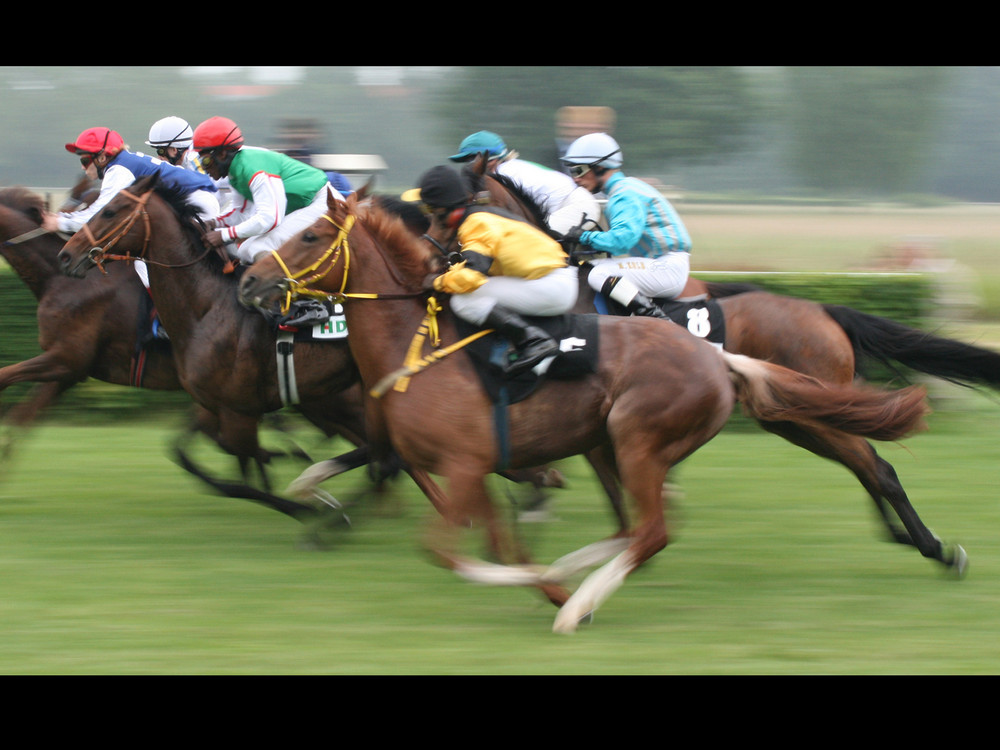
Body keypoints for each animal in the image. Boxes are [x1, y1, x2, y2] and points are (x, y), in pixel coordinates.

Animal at [238, 192, 940, 636]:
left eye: (310, 235)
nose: (247, 281)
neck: (417, 342)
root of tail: (717, 359)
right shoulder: (470, 468)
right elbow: (499, 538)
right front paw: (542, 575)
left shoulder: (465, 462)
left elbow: (451, 551)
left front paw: (545, 591)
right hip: (620, 438)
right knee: (636, 527)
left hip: (642, 436)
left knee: (653, 529)